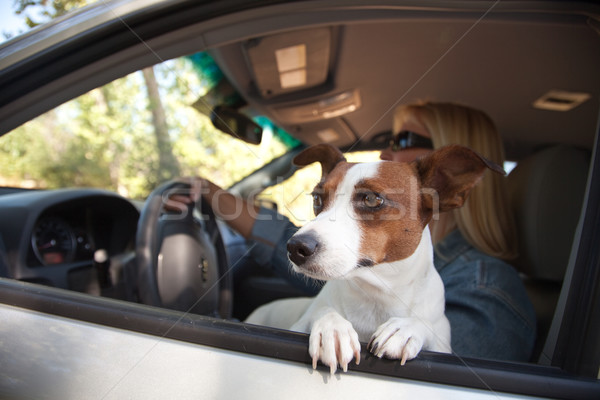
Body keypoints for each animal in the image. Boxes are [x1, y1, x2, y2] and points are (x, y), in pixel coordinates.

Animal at [246, 142, 504, 374]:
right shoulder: (302, 321)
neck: (376, 295)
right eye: (317, 199)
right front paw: (332, 329)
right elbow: (322, 311)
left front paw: (405, 328)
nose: (295, 247)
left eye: (371, 199)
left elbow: (426, 325)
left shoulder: (442, 341)